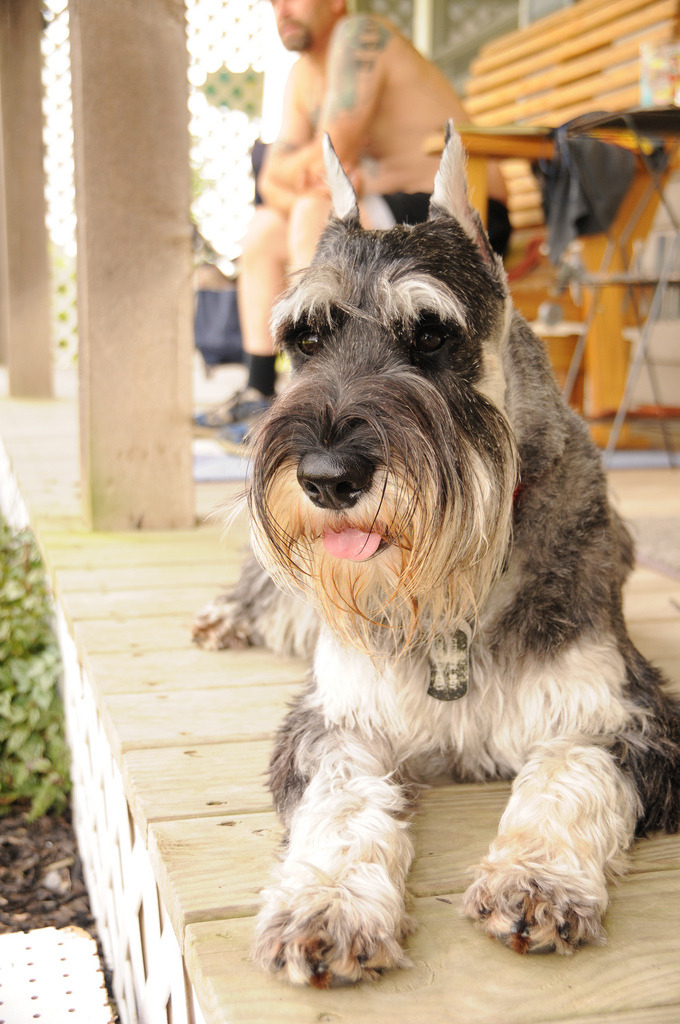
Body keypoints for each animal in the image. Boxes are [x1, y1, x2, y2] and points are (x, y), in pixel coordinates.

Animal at [191, 125, 680, 983]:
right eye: (305, 337)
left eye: (429, 334)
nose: (327, 478)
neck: (454, 599)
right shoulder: (338, 720)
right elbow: (342, 804)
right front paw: (327, 903)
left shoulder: (620, 716)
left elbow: (568, 776)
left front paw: (537, 877)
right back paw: (225, 615)